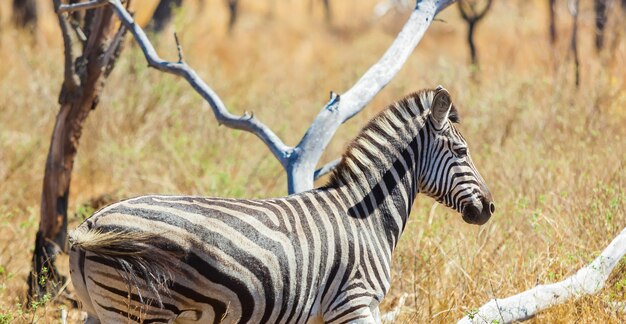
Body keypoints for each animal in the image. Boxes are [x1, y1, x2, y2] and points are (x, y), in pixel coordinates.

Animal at [68, 86, 492, 324]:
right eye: (461, 151)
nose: (489, 208)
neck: (368, 219)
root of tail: (91, 223)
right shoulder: (354, 302)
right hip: (140, 310)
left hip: (99, 311)